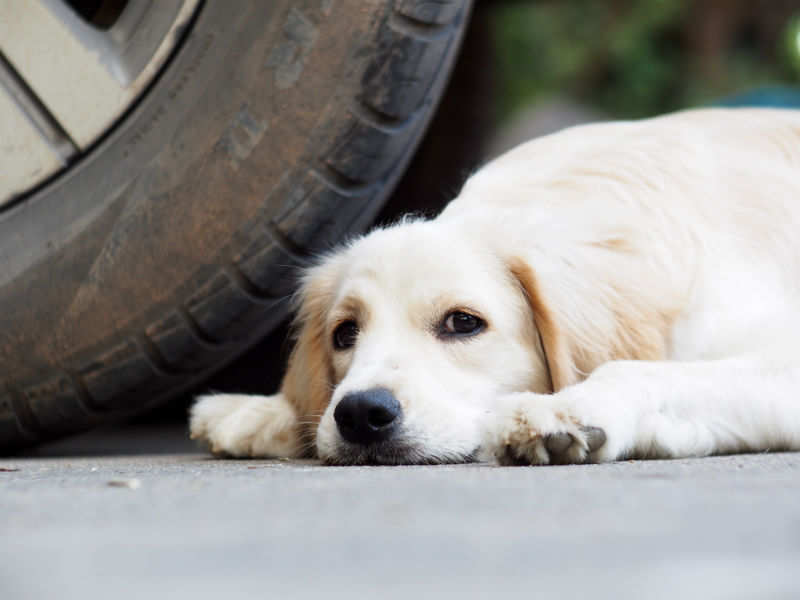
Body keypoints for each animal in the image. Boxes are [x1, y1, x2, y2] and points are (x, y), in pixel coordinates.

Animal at [189, 106, 800, 464]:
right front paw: (263, 411)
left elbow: (639, 370)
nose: (361, 414)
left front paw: (569, 408)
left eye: (464, 323)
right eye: (344, 334)